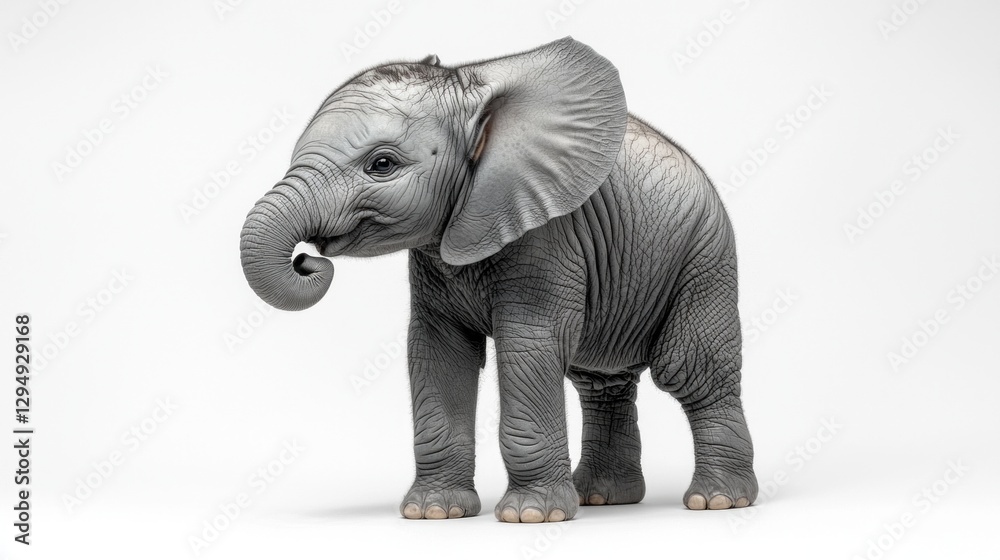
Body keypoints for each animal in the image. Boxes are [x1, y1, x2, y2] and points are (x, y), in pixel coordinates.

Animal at [239, 36, 758, 523]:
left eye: (381, 164)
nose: (307, 259)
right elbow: (438, 352)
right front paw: (433, 512)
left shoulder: (548, 234)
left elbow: (527, 346)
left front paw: (531, 516)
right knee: (599, 382)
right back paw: (602, 499)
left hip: (704, 258)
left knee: (689, 369)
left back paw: (717, 501)